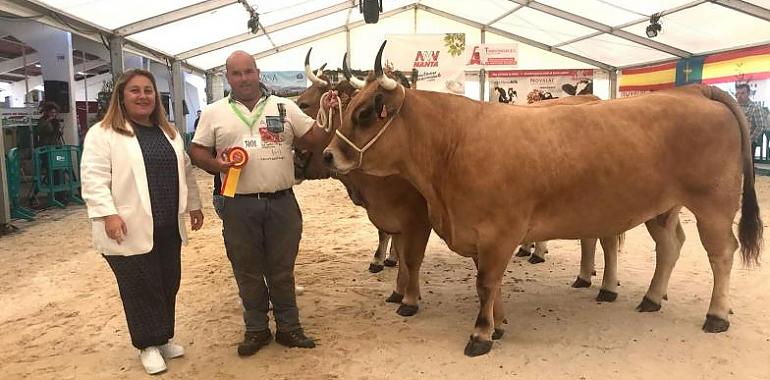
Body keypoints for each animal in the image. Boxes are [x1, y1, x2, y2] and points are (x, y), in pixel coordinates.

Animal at [320, 41, 760, 356]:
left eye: (364, 113)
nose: (328, 155)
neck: (454, 143)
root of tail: (695, 91)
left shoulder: (499, 232)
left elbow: (486, 283)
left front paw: (481, 335)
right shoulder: (482, 235)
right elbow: (492, 284)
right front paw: (498, 325)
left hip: (714, 204)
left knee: (722, 253)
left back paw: (716, 315)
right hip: (663, 207)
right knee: (670, 245)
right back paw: (652, 297)